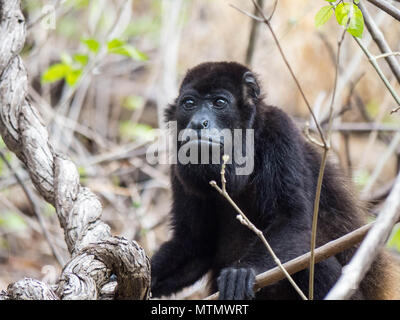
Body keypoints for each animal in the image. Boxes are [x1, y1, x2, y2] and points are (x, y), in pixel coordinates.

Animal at [151, 60, 400, 300]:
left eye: (219, 102)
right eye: (189, 103)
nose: (197, 123)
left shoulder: (279, 130)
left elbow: (291, 219)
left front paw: (243, 271)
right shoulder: (178, 168)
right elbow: (195, 245)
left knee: (312, 261)